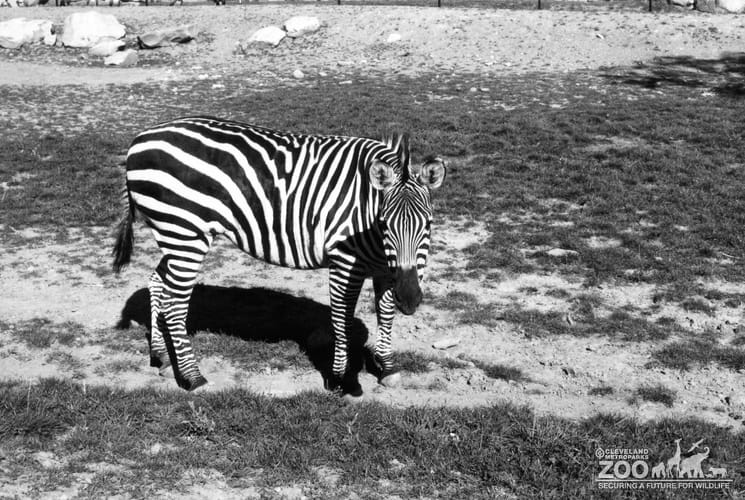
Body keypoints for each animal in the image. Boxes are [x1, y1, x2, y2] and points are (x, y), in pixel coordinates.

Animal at [112, 116, 446, 394]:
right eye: (385, 223)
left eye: (428, 224)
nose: (411, 299)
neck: (366, 212)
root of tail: (140, 138)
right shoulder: (344, 261)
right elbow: (341, 319)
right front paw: (341, 378)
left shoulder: (386, 269)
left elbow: (386, 315)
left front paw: (387, 368)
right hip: (184, 233)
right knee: (175, 303)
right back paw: (193, 377)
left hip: (175, 236)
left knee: (157, 283)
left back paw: (161, 357)